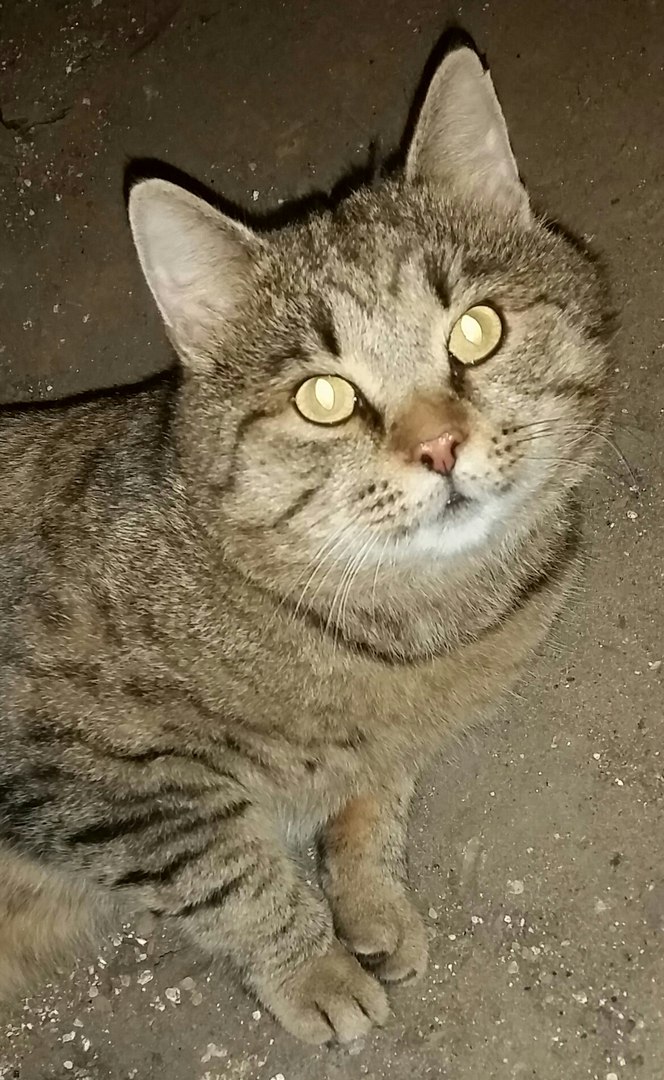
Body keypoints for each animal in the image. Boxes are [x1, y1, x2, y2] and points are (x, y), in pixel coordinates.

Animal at [0, 42, 611, 1043]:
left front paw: (370, 900)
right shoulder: (94, 782)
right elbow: (230, 876)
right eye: (322, 397)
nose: (440, 446)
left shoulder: (397, 743)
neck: (410, 629)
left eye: (476, 331)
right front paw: (314, 967)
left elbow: (373, 809)